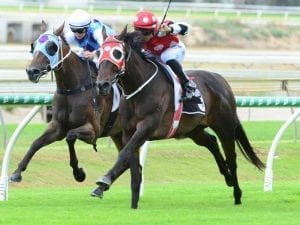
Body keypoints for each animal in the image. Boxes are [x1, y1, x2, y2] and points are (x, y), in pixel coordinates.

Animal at [9, 22, 125, 185]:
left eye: (52, 47)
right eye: (33, 45)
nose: (32, 71)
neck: (72, 89)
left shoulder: (93, 130)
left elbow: (70, 136)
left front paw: (78, 173)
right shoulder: (57, 126)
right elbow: (36, 143)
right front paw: (17, 172)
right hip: (118, 133)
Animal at [94, 26, 264, 209]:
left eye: (117, 53)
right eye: (99, 52)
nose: (102, 84)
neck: (139, 89)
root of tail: (221, 80)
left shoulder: (147, 126)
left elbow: (125, 153)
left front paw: (104, 180)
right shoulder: (128, 132)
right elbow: (133, 166)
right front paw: (133, 204)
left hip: (224, 126)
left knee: (231, 157)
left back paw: (237, 194)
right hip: (193, 129)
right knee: (211, 142)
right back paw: (228, 177)